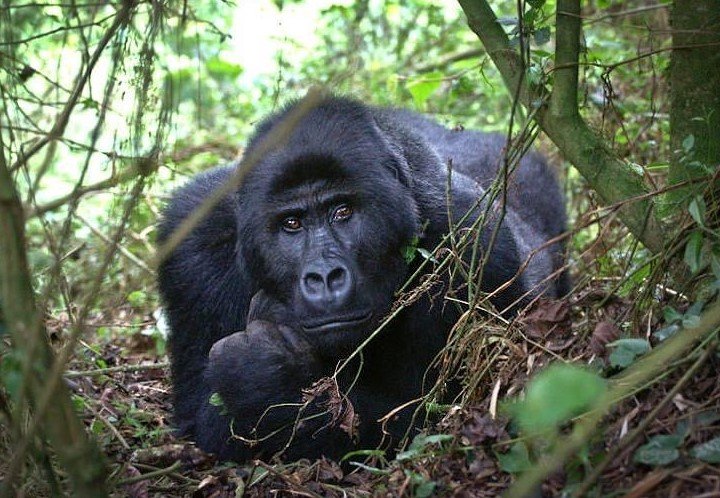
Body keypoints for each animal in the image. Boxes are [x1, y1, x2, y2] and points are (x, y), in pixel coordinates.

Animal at [158, 96, 568, 462]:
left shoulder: (474, 241)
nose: (325, 277)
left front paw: (263, 375)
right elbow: (200, 418)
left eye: (343, 211)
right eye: (292, 223)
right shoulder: (192, 240)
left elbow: (443, 415)